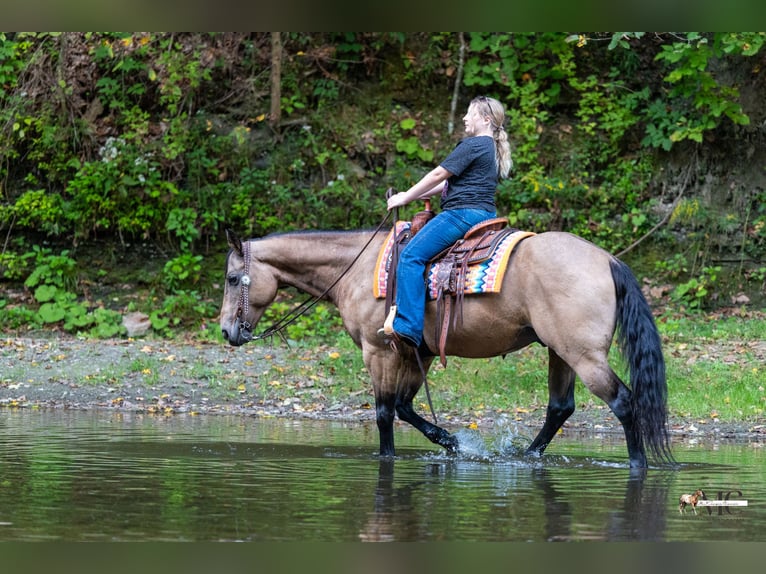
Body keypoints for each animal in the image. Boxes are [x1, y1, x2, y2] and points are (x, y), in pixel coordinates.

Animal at [219, 225, 673, 468]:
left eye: (231, 278)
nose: (227, 331)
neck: (356, 269)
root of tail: (608, 260)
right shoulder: (414, 353)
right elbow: (405, 407)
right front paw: (452, 442)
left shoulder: (378, 351)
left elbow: (384, 413)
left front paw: (389, 458)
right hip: (559, 351)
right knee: (560, 408)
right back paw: (525, 457)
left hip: (583, 355)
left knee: (624, 402)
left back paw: (637, 464)